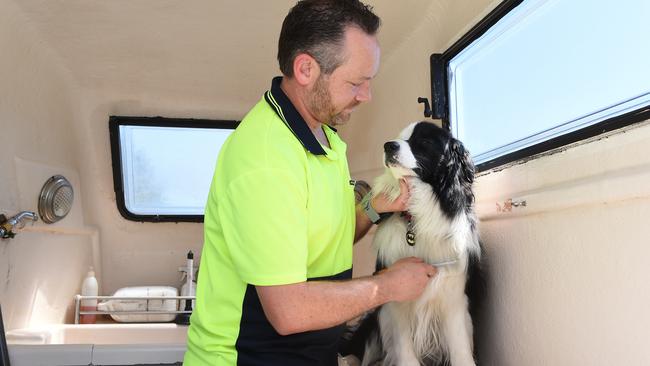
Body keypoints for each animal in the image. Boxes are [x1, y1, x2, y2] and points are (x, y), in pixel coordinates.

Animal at [340, 121, 480, 364]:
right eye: (399, 137)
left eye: (424, 141)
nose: (388, 145)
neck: (417, 217)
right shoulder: (395, 302)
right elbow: (405, 351)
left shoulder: (453, 296)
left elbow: (460, 350)